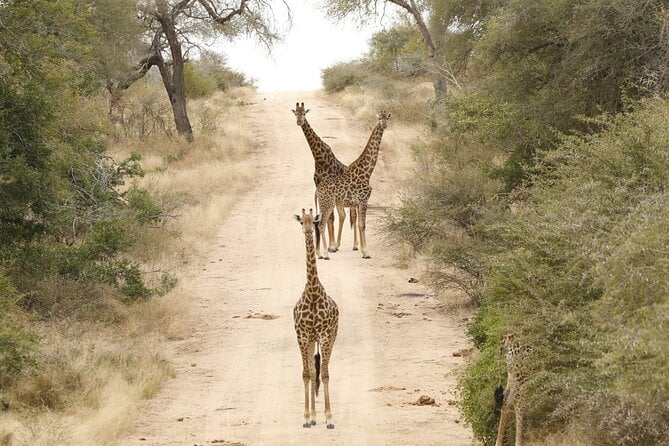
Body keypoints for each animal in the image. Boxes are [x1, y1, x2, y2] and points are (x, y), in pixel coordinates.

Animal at [290, 102, 358, 253]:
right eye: (295, 113)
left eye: (304, 113)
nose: (299, 122)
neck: (320, 159)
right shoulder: (319, 186)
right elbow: (327, 216)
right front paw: (330, 245)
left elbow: (330, 216)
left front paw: (332, 245)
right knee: (345, 215)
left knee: (353, 216)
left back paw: (356, 245)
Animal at [314, 110, 392, 260]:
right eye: (379, 118)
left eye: (388, 118)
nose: (384, 125)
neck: (367, 171)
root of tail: (317, 191)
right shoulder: (363, 200)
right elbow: (362, 225)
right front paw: (366, 253)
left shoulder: (358, 202)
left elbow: (359, 224)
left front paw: (362, 250)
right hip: (328, 204)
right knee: (321, 225)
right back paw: (326, 254)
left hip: (323, 205)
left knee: (320, 224)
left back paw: (320, 253)